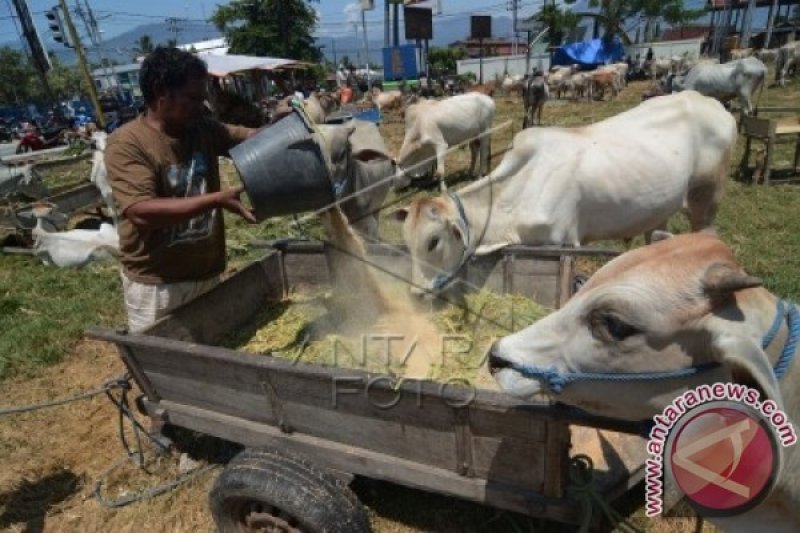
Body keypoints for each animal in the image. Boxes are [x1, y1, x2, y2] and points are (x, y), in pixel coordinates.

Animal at [394, 89, 736, 294]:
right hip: (659, 210)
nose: (416, 293)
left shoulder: (563, 244)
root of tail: (713, 104)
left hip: (706, 200)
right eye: (406, 242)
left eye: (433, 241)